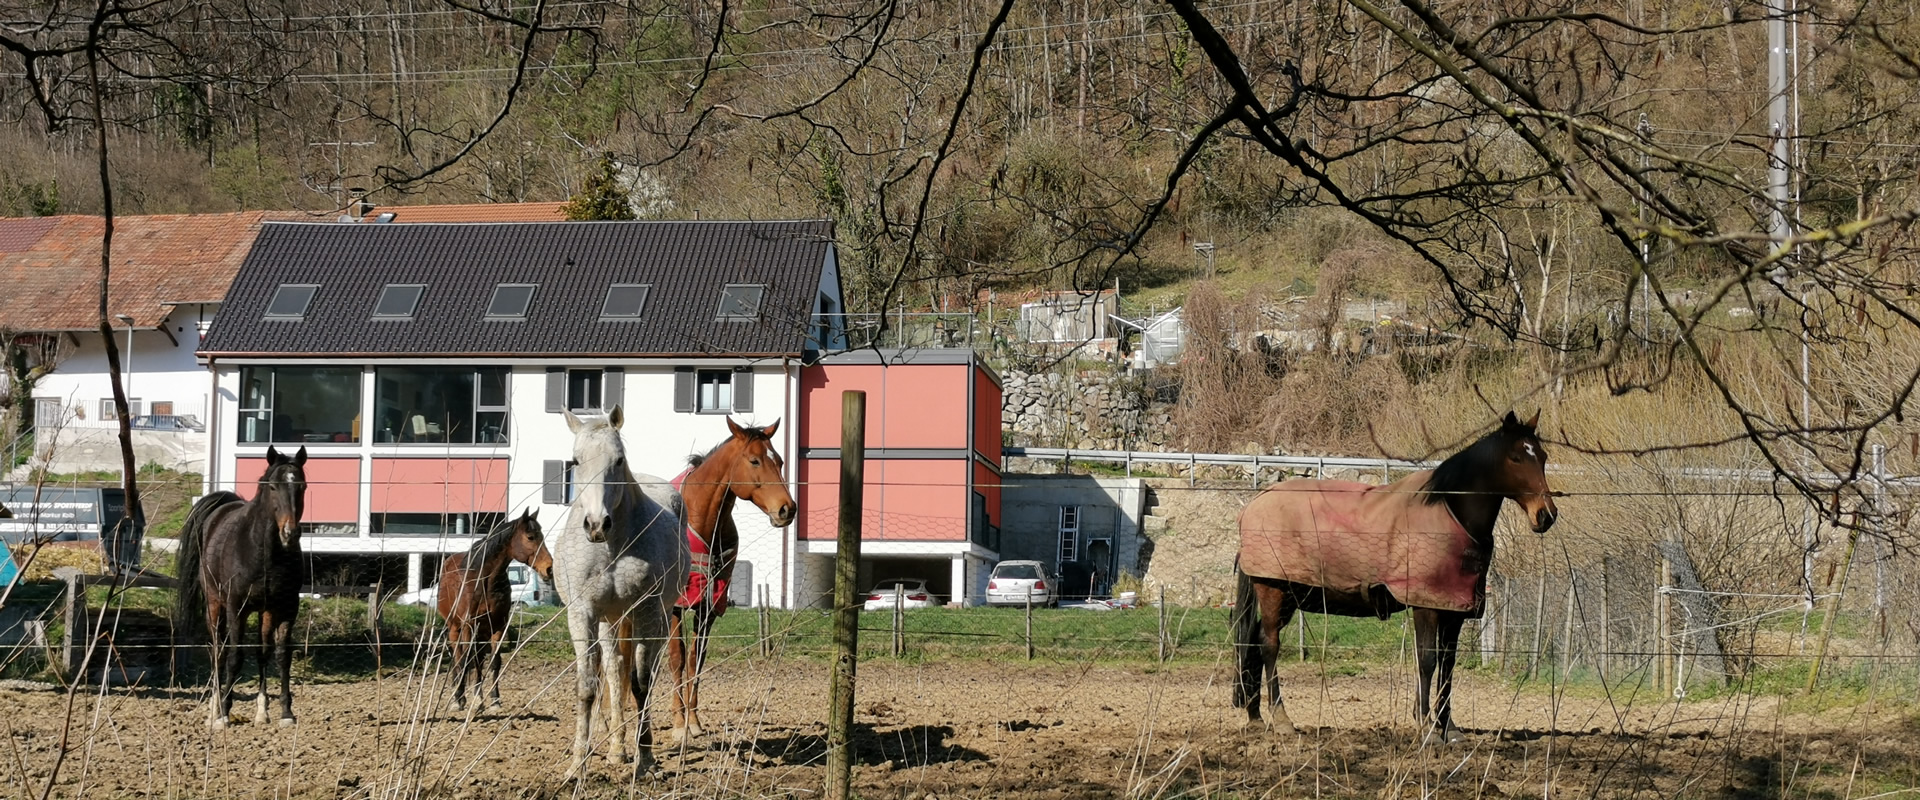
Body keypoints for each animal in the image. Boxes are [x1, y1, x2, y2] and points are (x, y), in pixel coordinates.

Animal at [174, 445, 309, 725]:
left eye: (302, 486)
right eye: (273, 486)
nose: (290, 533)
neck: (265, 553)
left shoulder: (287, 608)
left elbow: (281, 656)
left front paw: (286, 713)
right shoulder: (237, 607)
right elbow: (235, 657)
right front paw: (225, 712)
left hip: (265, 612)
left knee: (262, 652)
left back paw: (261, 712)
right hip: (215, 605)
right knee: (220, 652)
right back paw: (215, 709)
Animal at [437, 506, 552, 705]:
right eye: (530, 537)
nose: (549, 568)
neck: (483, 581)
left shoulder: (498, 625)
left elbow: (494, 661)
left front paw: (494, 699)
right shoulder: (468, 625)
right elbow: (465, 660)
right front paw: (460, 698)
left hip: (481, 632)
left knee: (478, 660)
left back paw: (478, 695)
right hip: (454, 628)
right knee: (458, 657)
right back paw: (458, 694)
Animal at [549, 404, 691, 775]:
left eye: (618, 459)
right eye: (575, 460)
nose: (597, 524)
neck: (612, 546)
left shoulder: (646, 610)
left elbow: (641, 685)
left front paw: (646, 760)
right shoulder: (582, 613)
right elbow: (588, 685)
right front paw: (577, 764)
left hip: (656, 618)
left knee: (643, 674)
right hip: (609, 619)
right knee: (614, 671)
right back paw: (615, 750)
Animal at [664, 418, 791, 740]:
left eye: (780, 461)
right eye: (755, 460)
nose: (787, 508)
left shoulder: (709, 604)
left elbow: (697, 658)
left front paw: (694, 721)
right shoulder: (676, 604)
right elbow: (677, 658)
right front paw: (679, 725)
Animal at [1228, 410, 1559, 740]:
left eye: (1542, 456)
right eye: (1516, 458)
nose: (1546, 515)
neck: (1451, 511)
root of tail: (1253, 504)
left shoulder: (1453, 611)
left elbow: (1448, 664)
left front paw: (1448, 728)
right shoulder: (1426, 606)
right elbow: (1427, 661)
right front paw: (1426, 726)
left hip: (1290, 596)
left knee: (1253, 642)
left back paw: (1256, 717)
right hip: (1273, 589)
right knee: (1268, 645)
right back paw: (1282, 718)